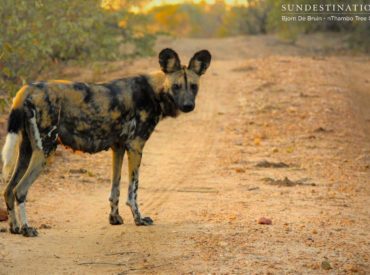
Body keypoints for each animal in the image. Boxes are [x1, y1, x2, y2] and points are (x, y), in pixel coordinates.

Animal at [0, 48, 211, 237]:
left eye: (193, 86)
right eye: (176, 86)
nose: (188, 106)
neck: (155, 91)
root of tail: (27, 88)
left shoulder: (118, 147)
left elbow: (115, 187)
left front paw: (114, 218)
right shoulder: (136, 146)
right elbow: (133, 190)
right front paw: (139, 219)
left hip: (26, 150)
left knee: (9, 189)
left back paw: (15, 228)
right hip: (46, 150)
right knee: (20, 190)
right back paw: (27, 229)